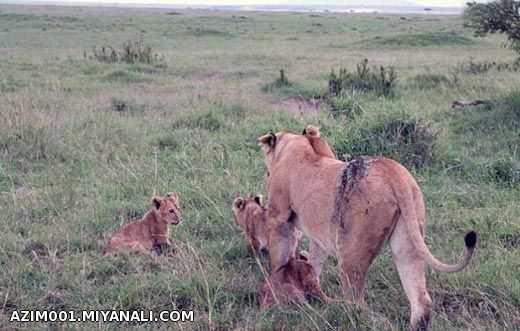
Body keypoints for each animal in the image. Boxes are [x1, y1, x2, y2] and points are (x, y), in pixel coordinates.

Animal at [258, 126, 478, 330]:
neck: (297, 142)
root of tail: (394, 173)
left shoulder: (278, 217)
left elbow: (278, 257)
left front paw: (277, 285)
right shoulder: (318, 236)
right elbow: (315, 263)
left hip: (351, 252)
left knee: (357, 302)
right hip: (408, 239)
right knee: (420, 300)